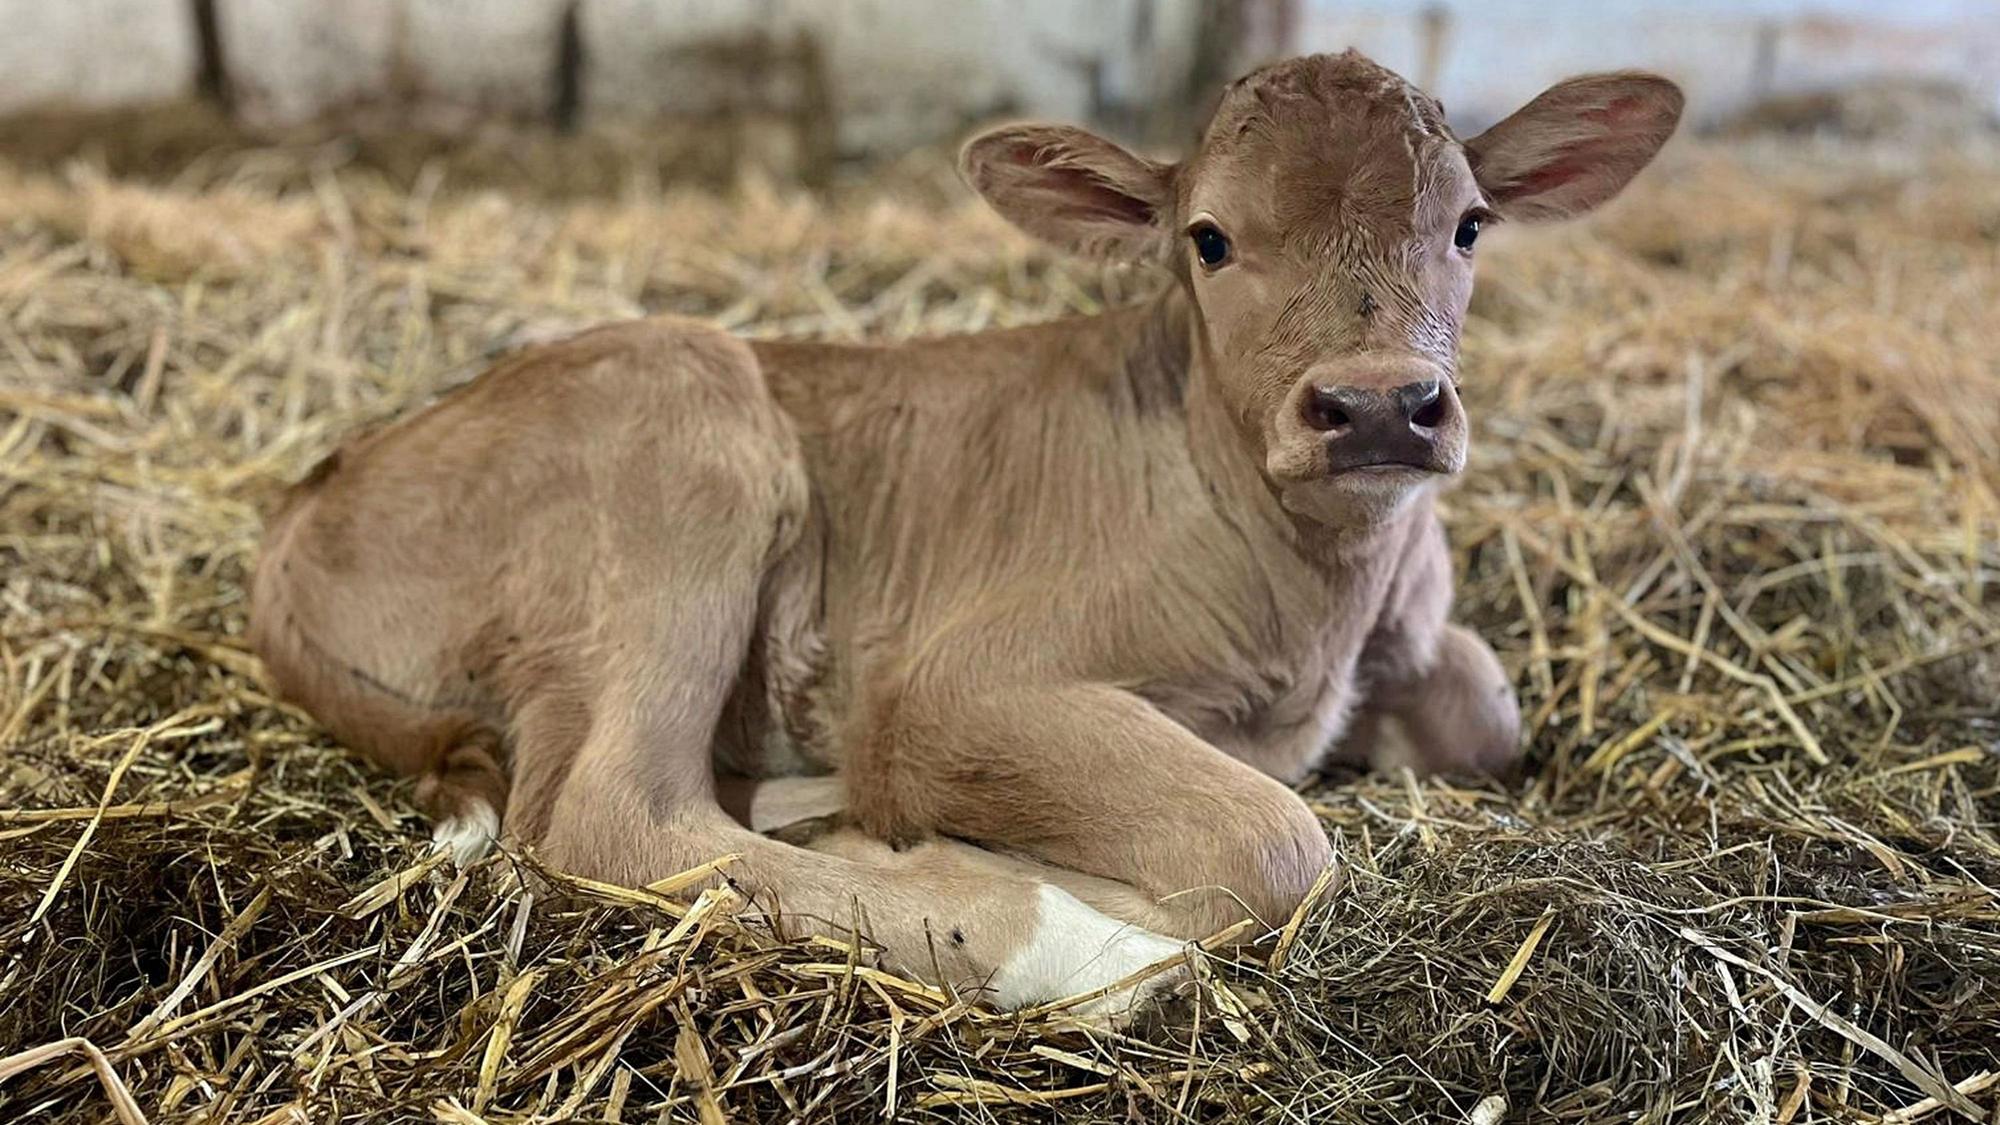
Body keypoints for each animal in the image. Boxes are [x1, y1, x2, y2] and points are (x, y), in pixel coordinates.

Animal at [248, 50, 1681, 1021]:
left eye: (1469, 224)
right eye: (1209, 240)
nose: (1380, 403)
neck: (1312, 598)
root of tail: (308, 499)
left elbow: (1483, 713)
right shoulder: (952, 687)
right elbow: (1272, 839)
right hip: (683, 436)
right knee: (609, 811)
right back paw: (1062, 938)